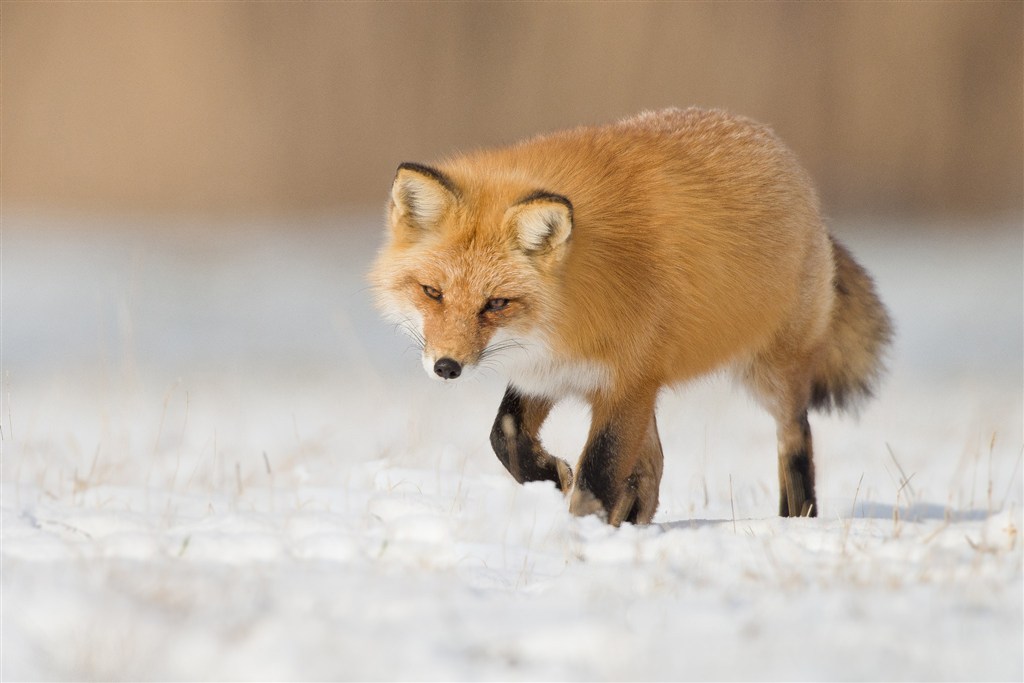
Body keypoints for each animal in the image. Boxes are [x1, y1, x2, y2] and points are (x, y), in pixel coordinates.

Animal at [368, 107, 888, 528]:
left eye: (495, 303)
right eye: (432, 292)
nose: (446, 367)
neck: (578, 298)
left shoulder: (623, 380)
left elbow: (597, 473)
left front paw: (582, 535)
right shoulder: (554, 367)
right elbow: (505, 435)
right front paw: (553, 479)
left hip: (768, 370)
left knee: (795, 435)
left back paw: (797, 518)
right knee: (654, 458)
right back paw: (638, 512)